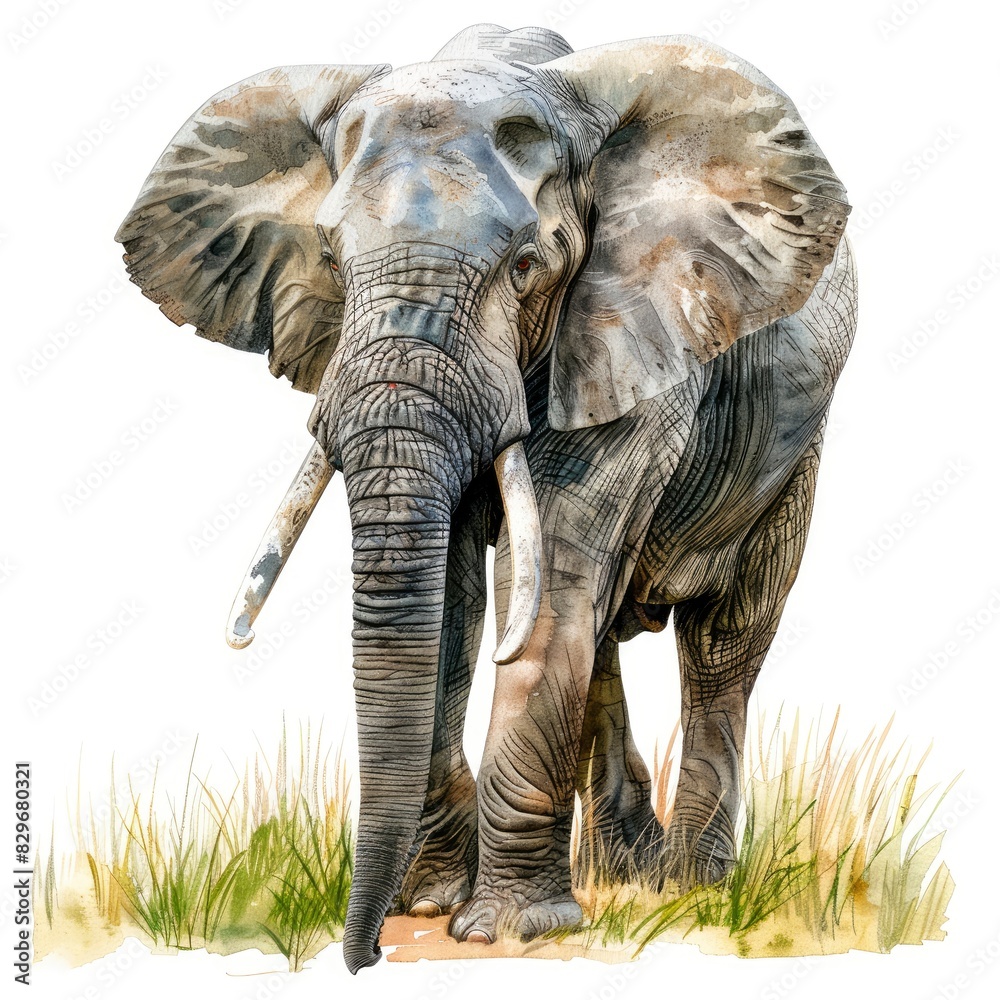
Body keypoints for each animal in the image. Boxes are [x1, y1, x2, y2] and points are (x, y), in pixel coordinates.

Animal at [116, 24, 856, 973]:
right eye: (332, 260)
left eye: (526, 265)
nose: (366, 956)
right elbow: (455, 600)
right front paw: (432, 902)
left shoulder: (629, 329)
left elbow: (555, 578)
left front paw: (508, 930)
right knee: (602, 635)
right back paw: (628, 873)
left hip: (796, 441)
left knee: (724, 640)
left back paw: (693, 889)